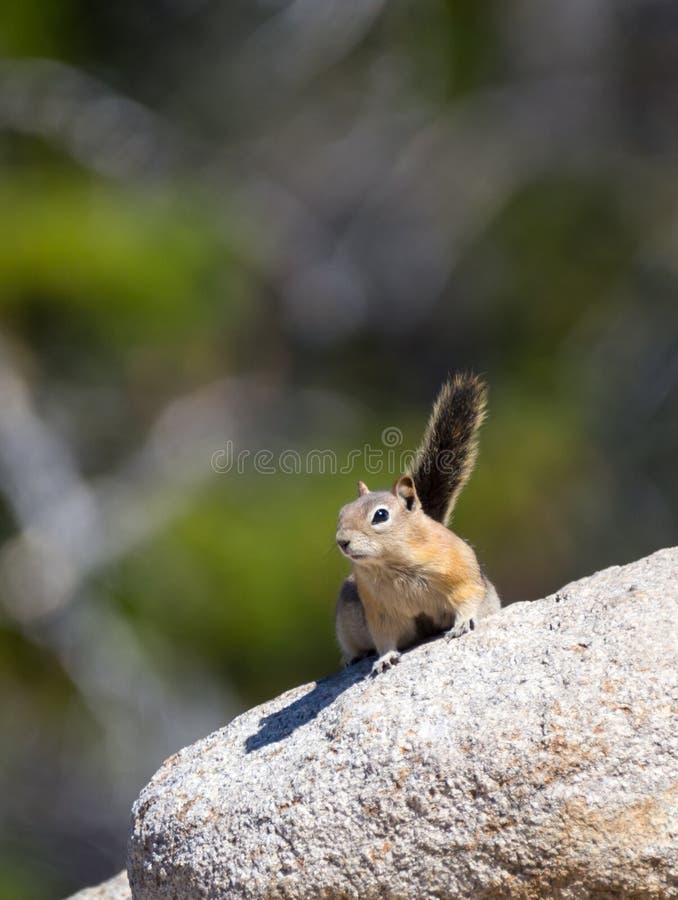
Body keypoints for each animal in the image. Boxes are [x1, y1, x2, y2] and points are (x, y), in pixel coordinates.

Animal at [334, 372, 500, 676]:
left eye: (380, 515)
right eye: (342, 512)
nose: (342, 541)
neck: (394, 564)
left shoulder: (461, 574)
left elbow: (468, 597)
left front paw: (462, 624)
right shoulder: (380, 612)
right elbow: (384, 637)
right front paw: (385, 657)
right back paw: (353, 657)